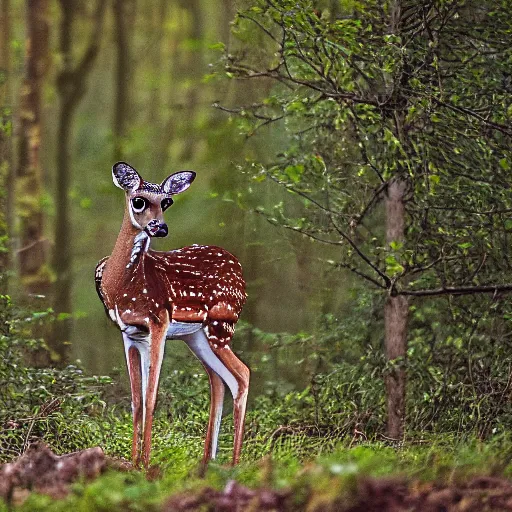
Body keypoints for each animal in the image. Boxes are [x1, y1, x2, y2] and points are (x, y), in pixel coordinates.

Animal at [96, 163, 250, 468]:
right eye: (138, 200)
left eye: (167, 202)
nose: (161, 227)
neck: (120, 285)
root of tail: (239, 270)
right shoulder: (130, 334)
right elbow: (137, 401)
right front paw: (134, 462)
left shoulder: (158, 321)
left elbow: (151, 399)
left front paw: (145, 464)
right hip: (197, 336)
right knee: (219, 380)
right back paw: (207, 461)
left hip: (221, 324)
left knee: (242, 375)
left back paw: (234, 463)